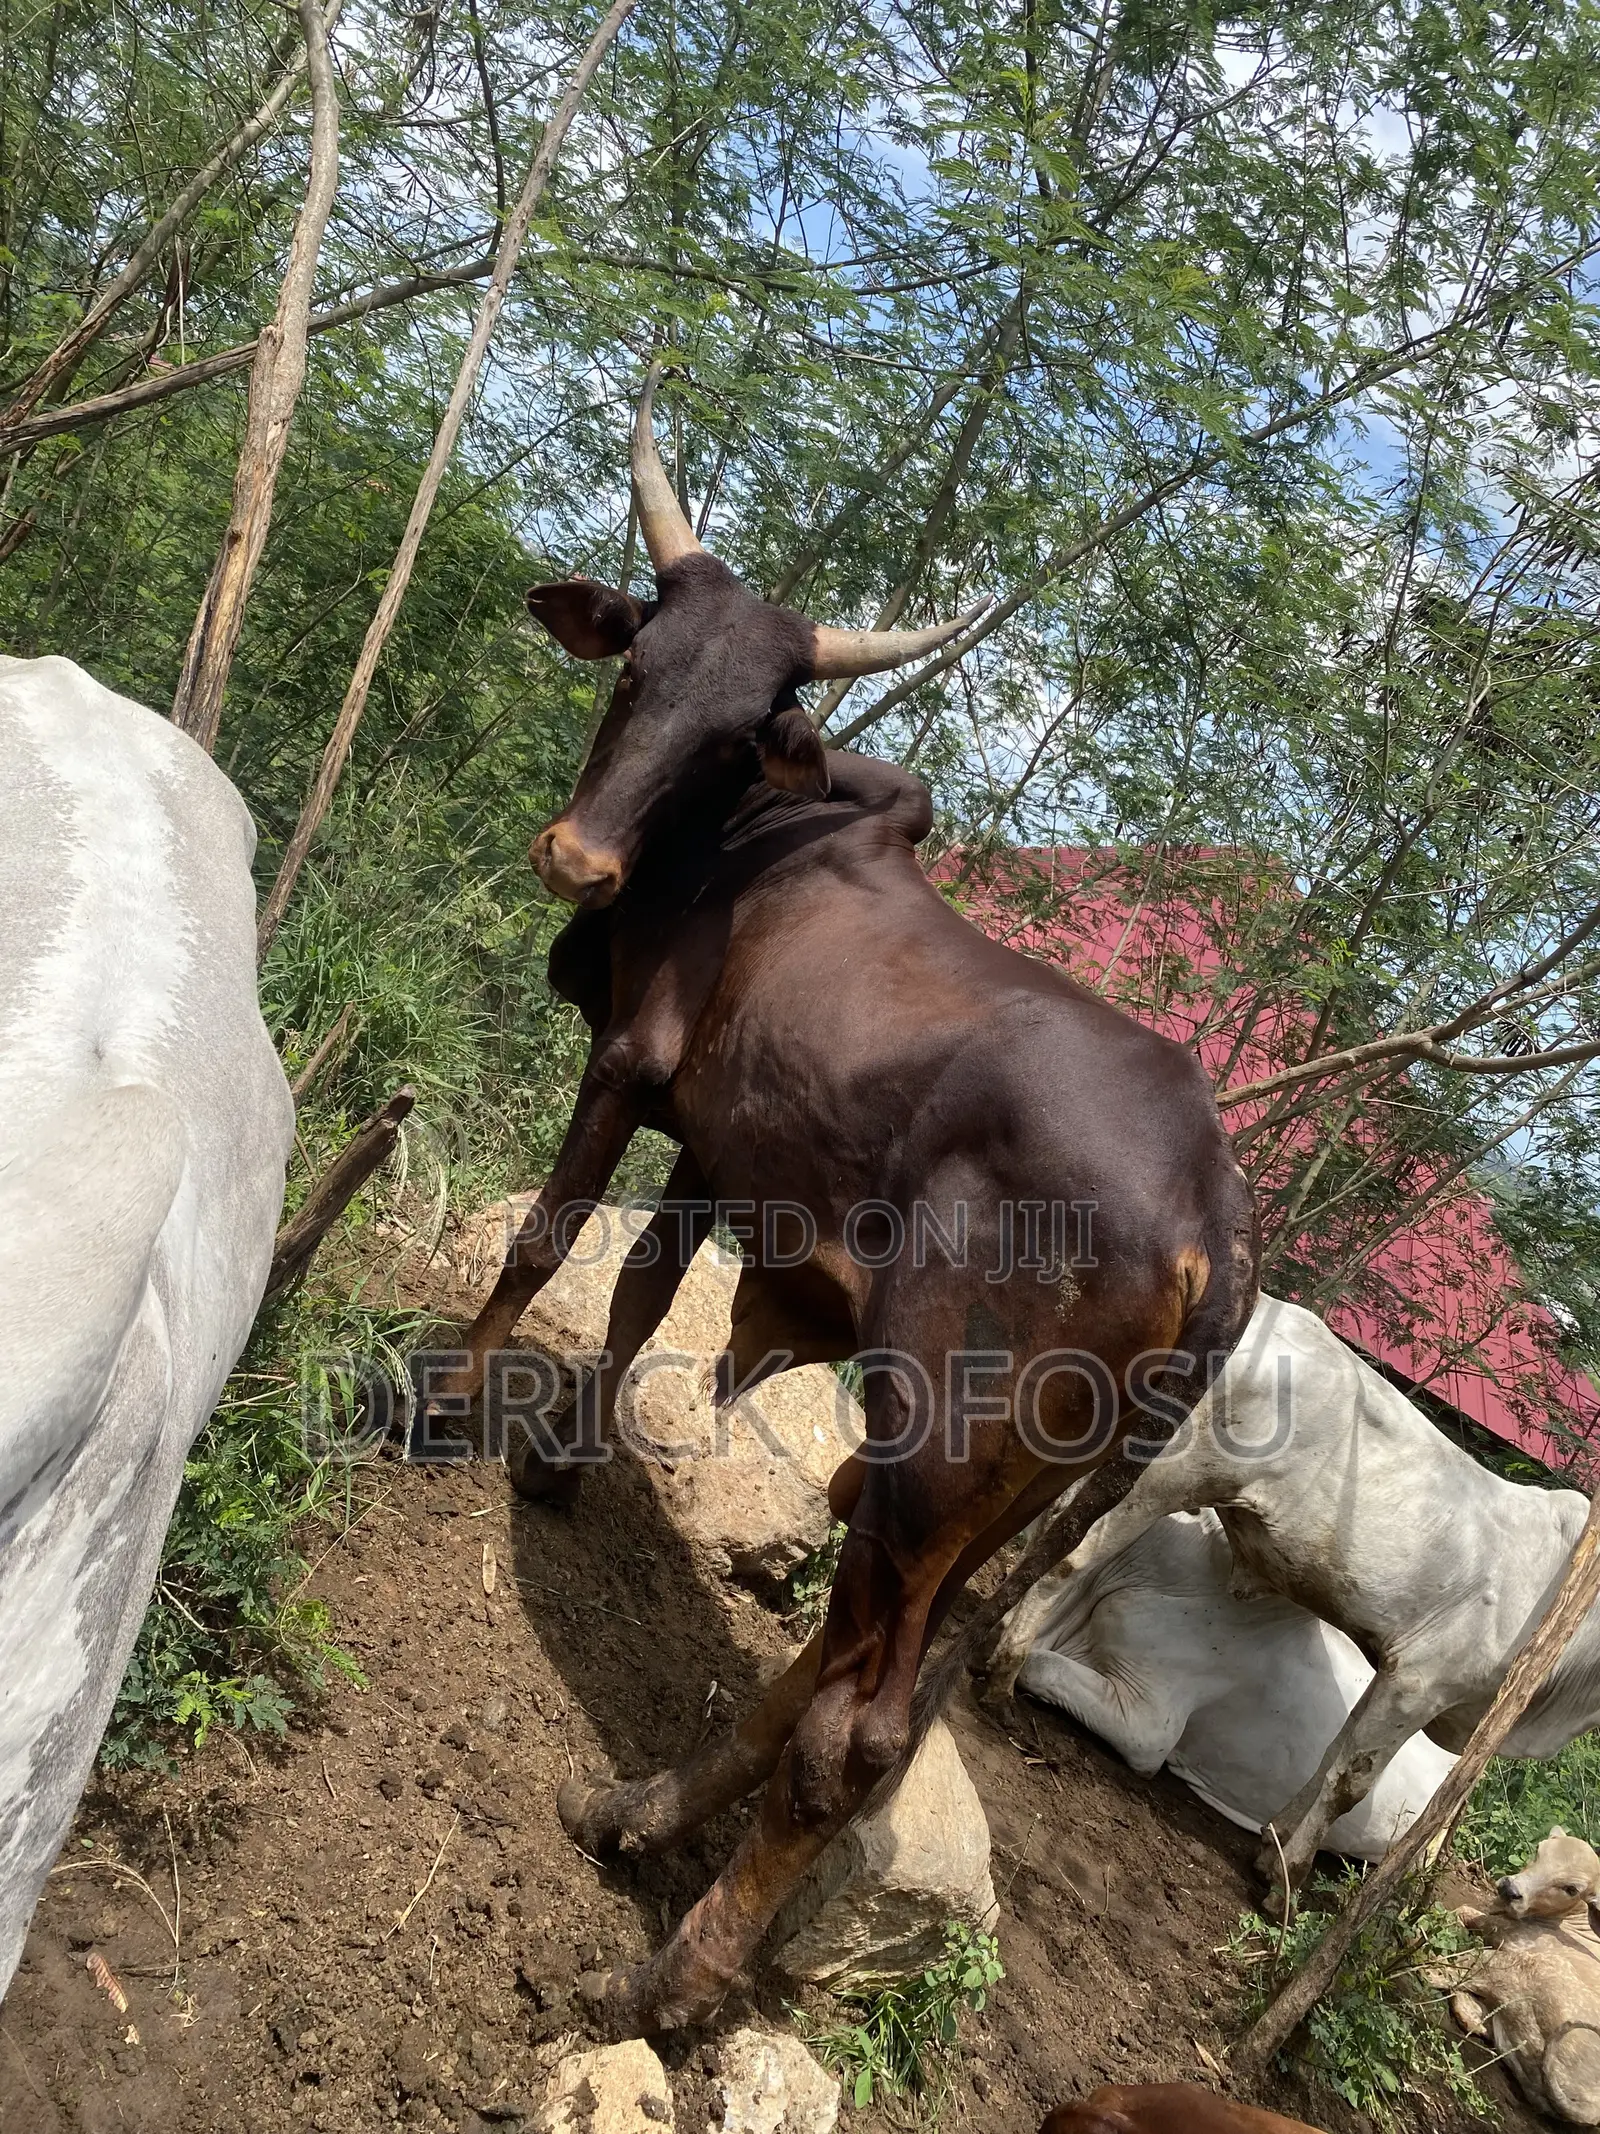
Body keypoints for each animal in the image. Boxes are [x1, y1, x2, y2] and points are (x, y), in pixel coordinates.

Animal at [422, 366, 1259, 2036]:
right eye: (640, 664)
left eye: (742, 734)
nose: (574, 858)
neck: (751, 840)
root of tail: (1216, 1212)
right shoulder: (718, 1135)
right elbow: (643, 1289)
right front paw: (561, 1455)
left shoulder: (628, 1066)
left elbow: (549, 1237)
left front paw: (451, 1398)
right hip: (995, 1502)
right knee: (840, 1668)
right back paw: (638, 1807)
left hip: (935, 1441)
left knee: (858, 1730)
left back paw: (665, 1974)